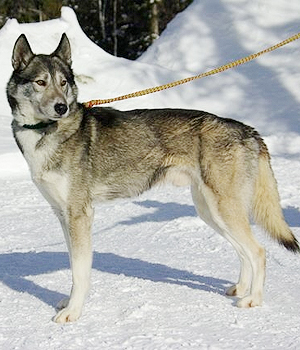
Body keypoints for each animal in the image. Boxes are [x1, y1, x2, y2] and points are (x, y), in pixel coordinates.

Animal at [7, 34, 300, 324]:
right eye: (40, 82)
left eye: (63, 82)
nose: (62, 107)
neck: (44, 132)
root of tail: (247, 130)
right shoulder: (63, 215)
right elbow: (73, 265)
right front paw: (69, 303)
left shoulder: (79, 215)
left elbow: (80, 272)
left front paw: (73, 312)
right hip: (211, 212)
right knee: (243, 252)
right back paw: (240, 288)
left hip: (224, 209)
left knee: (259, 252)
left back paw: (253, 299)